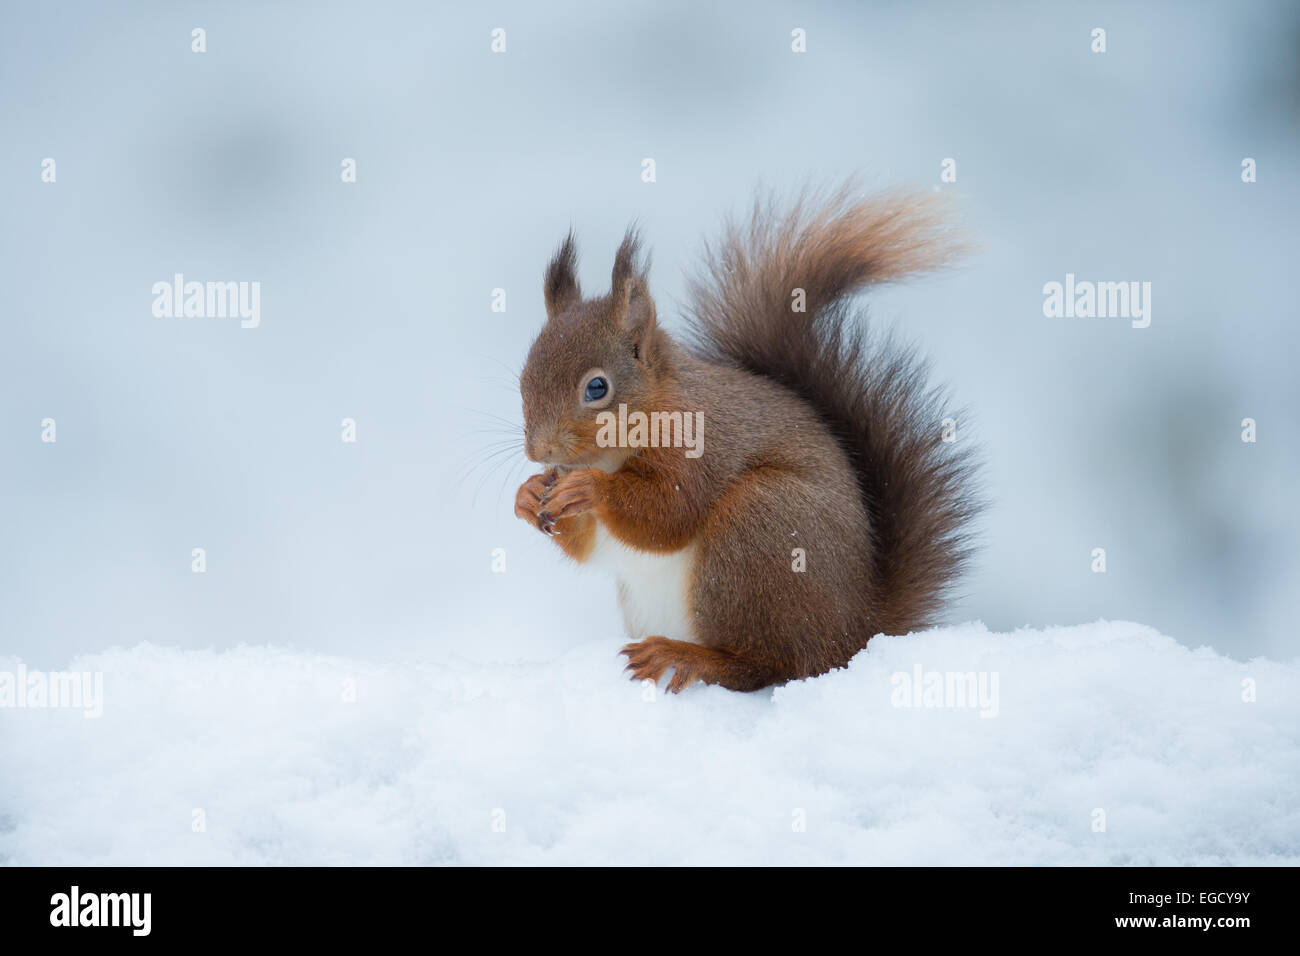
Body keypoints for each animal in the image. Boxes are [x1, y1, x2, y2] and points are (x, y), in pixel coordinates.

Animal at [512, 187, 977, 691]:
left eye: (597, 387)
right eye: (523, 379)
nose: (538, 451)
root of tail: (858, 630)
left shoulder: (701, 448)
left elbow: (668, 514)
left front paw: (590, 488)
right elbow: (588, 545)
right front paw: (529, 494)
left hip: (759, 525)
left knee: (769, 664)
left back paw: (687, 657)